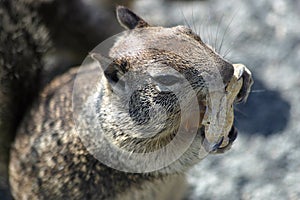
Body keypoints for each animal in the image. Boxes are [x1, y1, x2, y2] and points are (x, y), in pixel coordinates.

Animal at [8, 5, 253, 199]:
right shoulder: (126, 153)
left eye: (190, 33)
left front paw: (244, 80)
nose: (226, 70)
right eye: (166, 79)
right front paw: (204, 138)